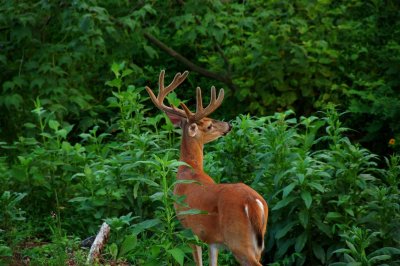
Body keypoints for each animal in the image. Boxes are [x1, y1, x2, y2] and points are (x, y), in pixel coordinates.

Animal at [145, 70, 268, 266]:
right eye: (209, 124)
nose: (229, 125)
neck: (190, 170)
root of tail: (254, 202)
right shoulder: (212, 240)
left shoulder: (189, 229)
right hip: (258, 240)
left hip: (238, 240)